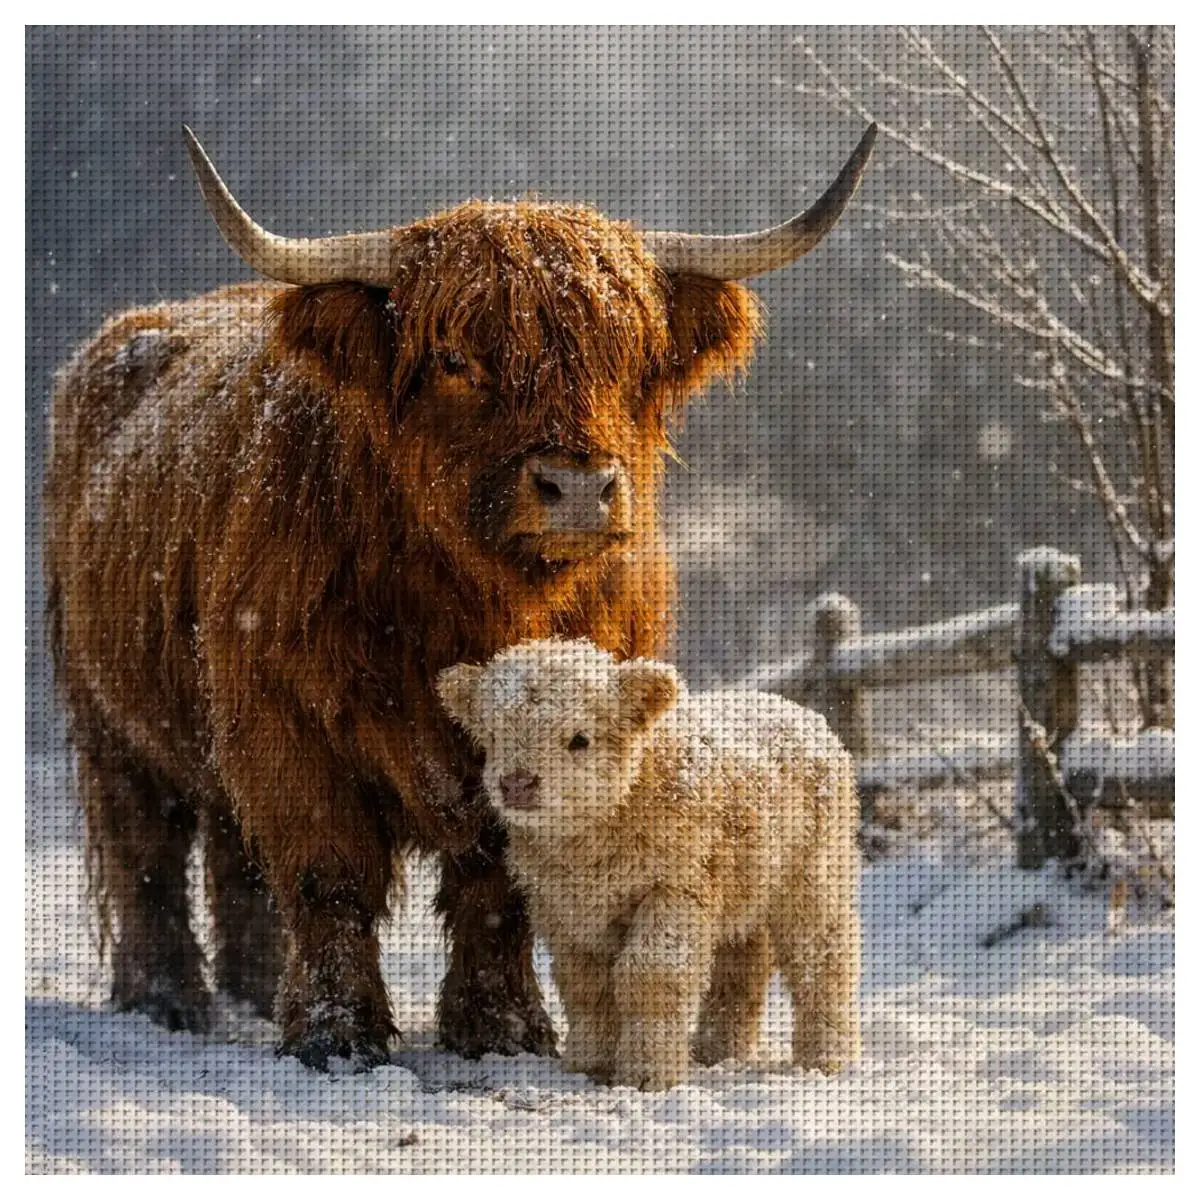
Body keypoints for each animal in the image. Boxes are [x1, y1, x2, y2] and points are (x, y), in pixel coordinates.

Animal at [44, 123, 875, 1070]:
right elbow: (326, 872)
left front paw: (501, 1028)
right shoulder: (282, 721)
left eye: (632, 360)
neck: (469, 606)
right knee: (144, 848)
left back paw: (252, 991)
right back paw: (166, 999)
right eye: (454, 361)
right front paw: (337, 1035)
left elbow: (495, 875)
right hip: (110, 719)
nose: (577, 488)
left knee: (231, 852)